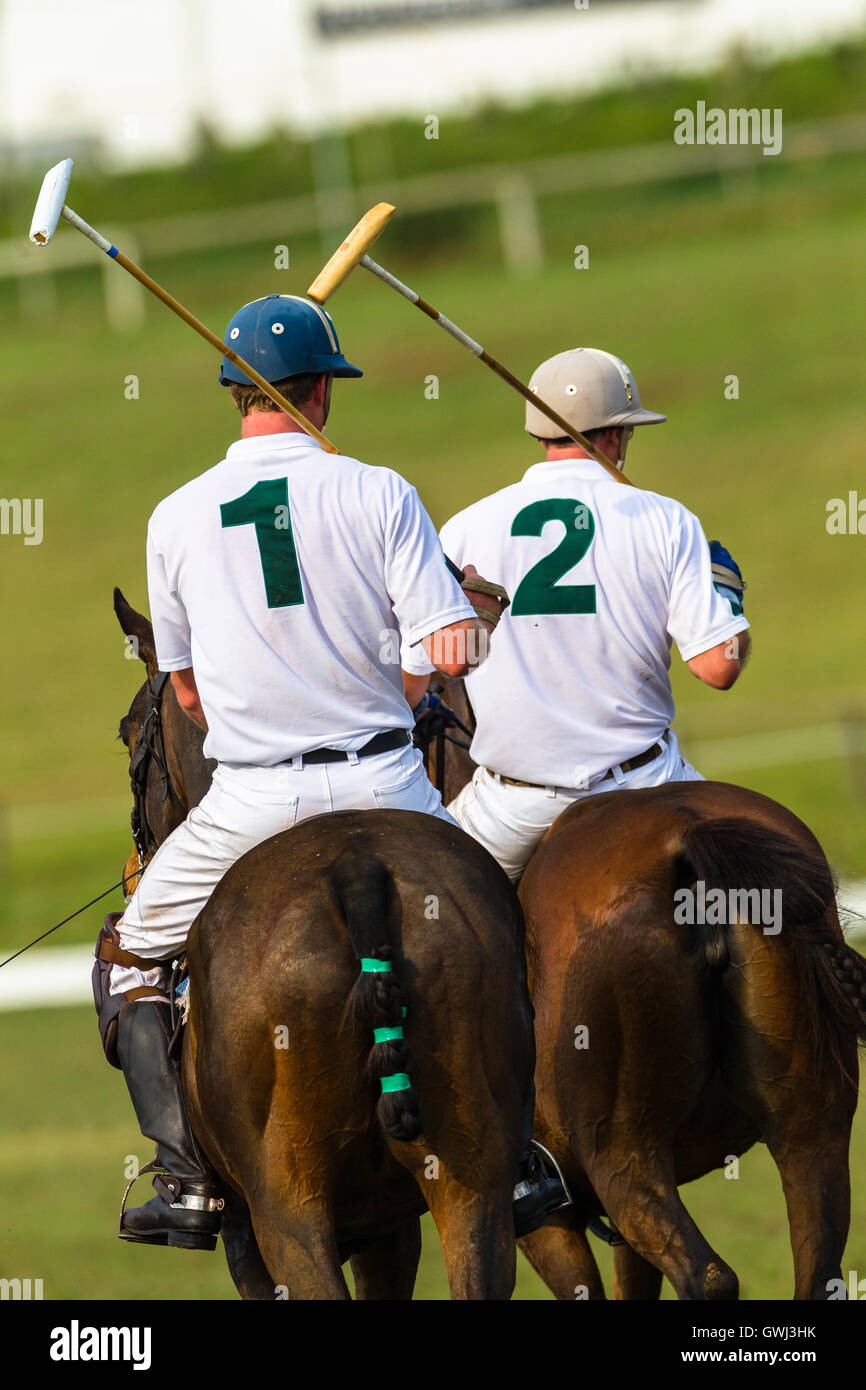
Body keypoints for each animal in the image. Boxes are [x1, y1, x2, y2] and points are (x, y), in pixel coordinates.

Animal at [111, 594, 536, 1301]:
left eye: (126, 732)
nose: (133, 869)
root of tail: (355, 869)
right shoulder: (388, 1224)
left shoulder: (250, 1238)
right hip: (471, 1182)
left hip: (286, 1204)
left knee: (127, 965)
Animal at [419, 678, 866, 1295]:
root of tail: (690, 835)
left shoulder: (534, 1217)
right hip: (811, 1129)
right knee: (816, 1263)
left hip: (623, 1155)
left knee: (706, 1274)